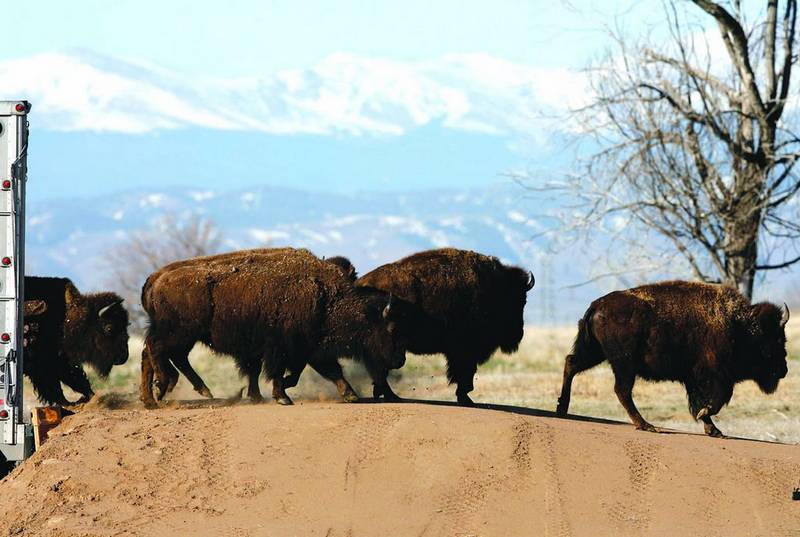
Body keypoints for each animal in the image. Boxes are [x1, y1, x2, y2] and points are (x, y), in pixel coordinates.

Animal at [140, 248, 408, 407]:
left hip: (182, 336)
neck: (329, 298)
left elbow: (328, 371)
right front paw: (282, 397)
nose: (400, 360)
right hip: (179, 333)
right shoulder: (283, 348)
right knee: (157, 350)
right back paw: (165, 387)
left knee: (155, 355)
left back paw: (155, 398)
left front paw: (350, 394)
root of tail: (156, 277)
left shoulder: (307, 349)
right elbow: (279, 372)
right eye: (390, 328)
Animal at [356, 248, 535, 405]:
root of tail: (360, 283)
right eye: (517, 300)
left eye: (523, 300)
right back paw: (390, 395)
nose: (518, 334)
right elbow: (464, 374)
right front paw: (465, 398)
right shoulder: (464, 351)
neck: (493, 287)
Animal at [556, 280, 790, 437]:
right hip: (623, 363)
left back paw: (562, 408)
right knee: (622, 390)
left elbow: (702, 401)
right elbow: (715, 401)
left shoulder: (695, 379)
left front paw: (713, 430)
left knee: (572, 363)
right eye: (777, 339)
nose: (784, 370)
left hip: (596, 353)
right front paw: (706, 419)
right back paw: (646, 425)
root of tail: (597, 305)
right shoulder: (715, 376)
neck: (740, 326)